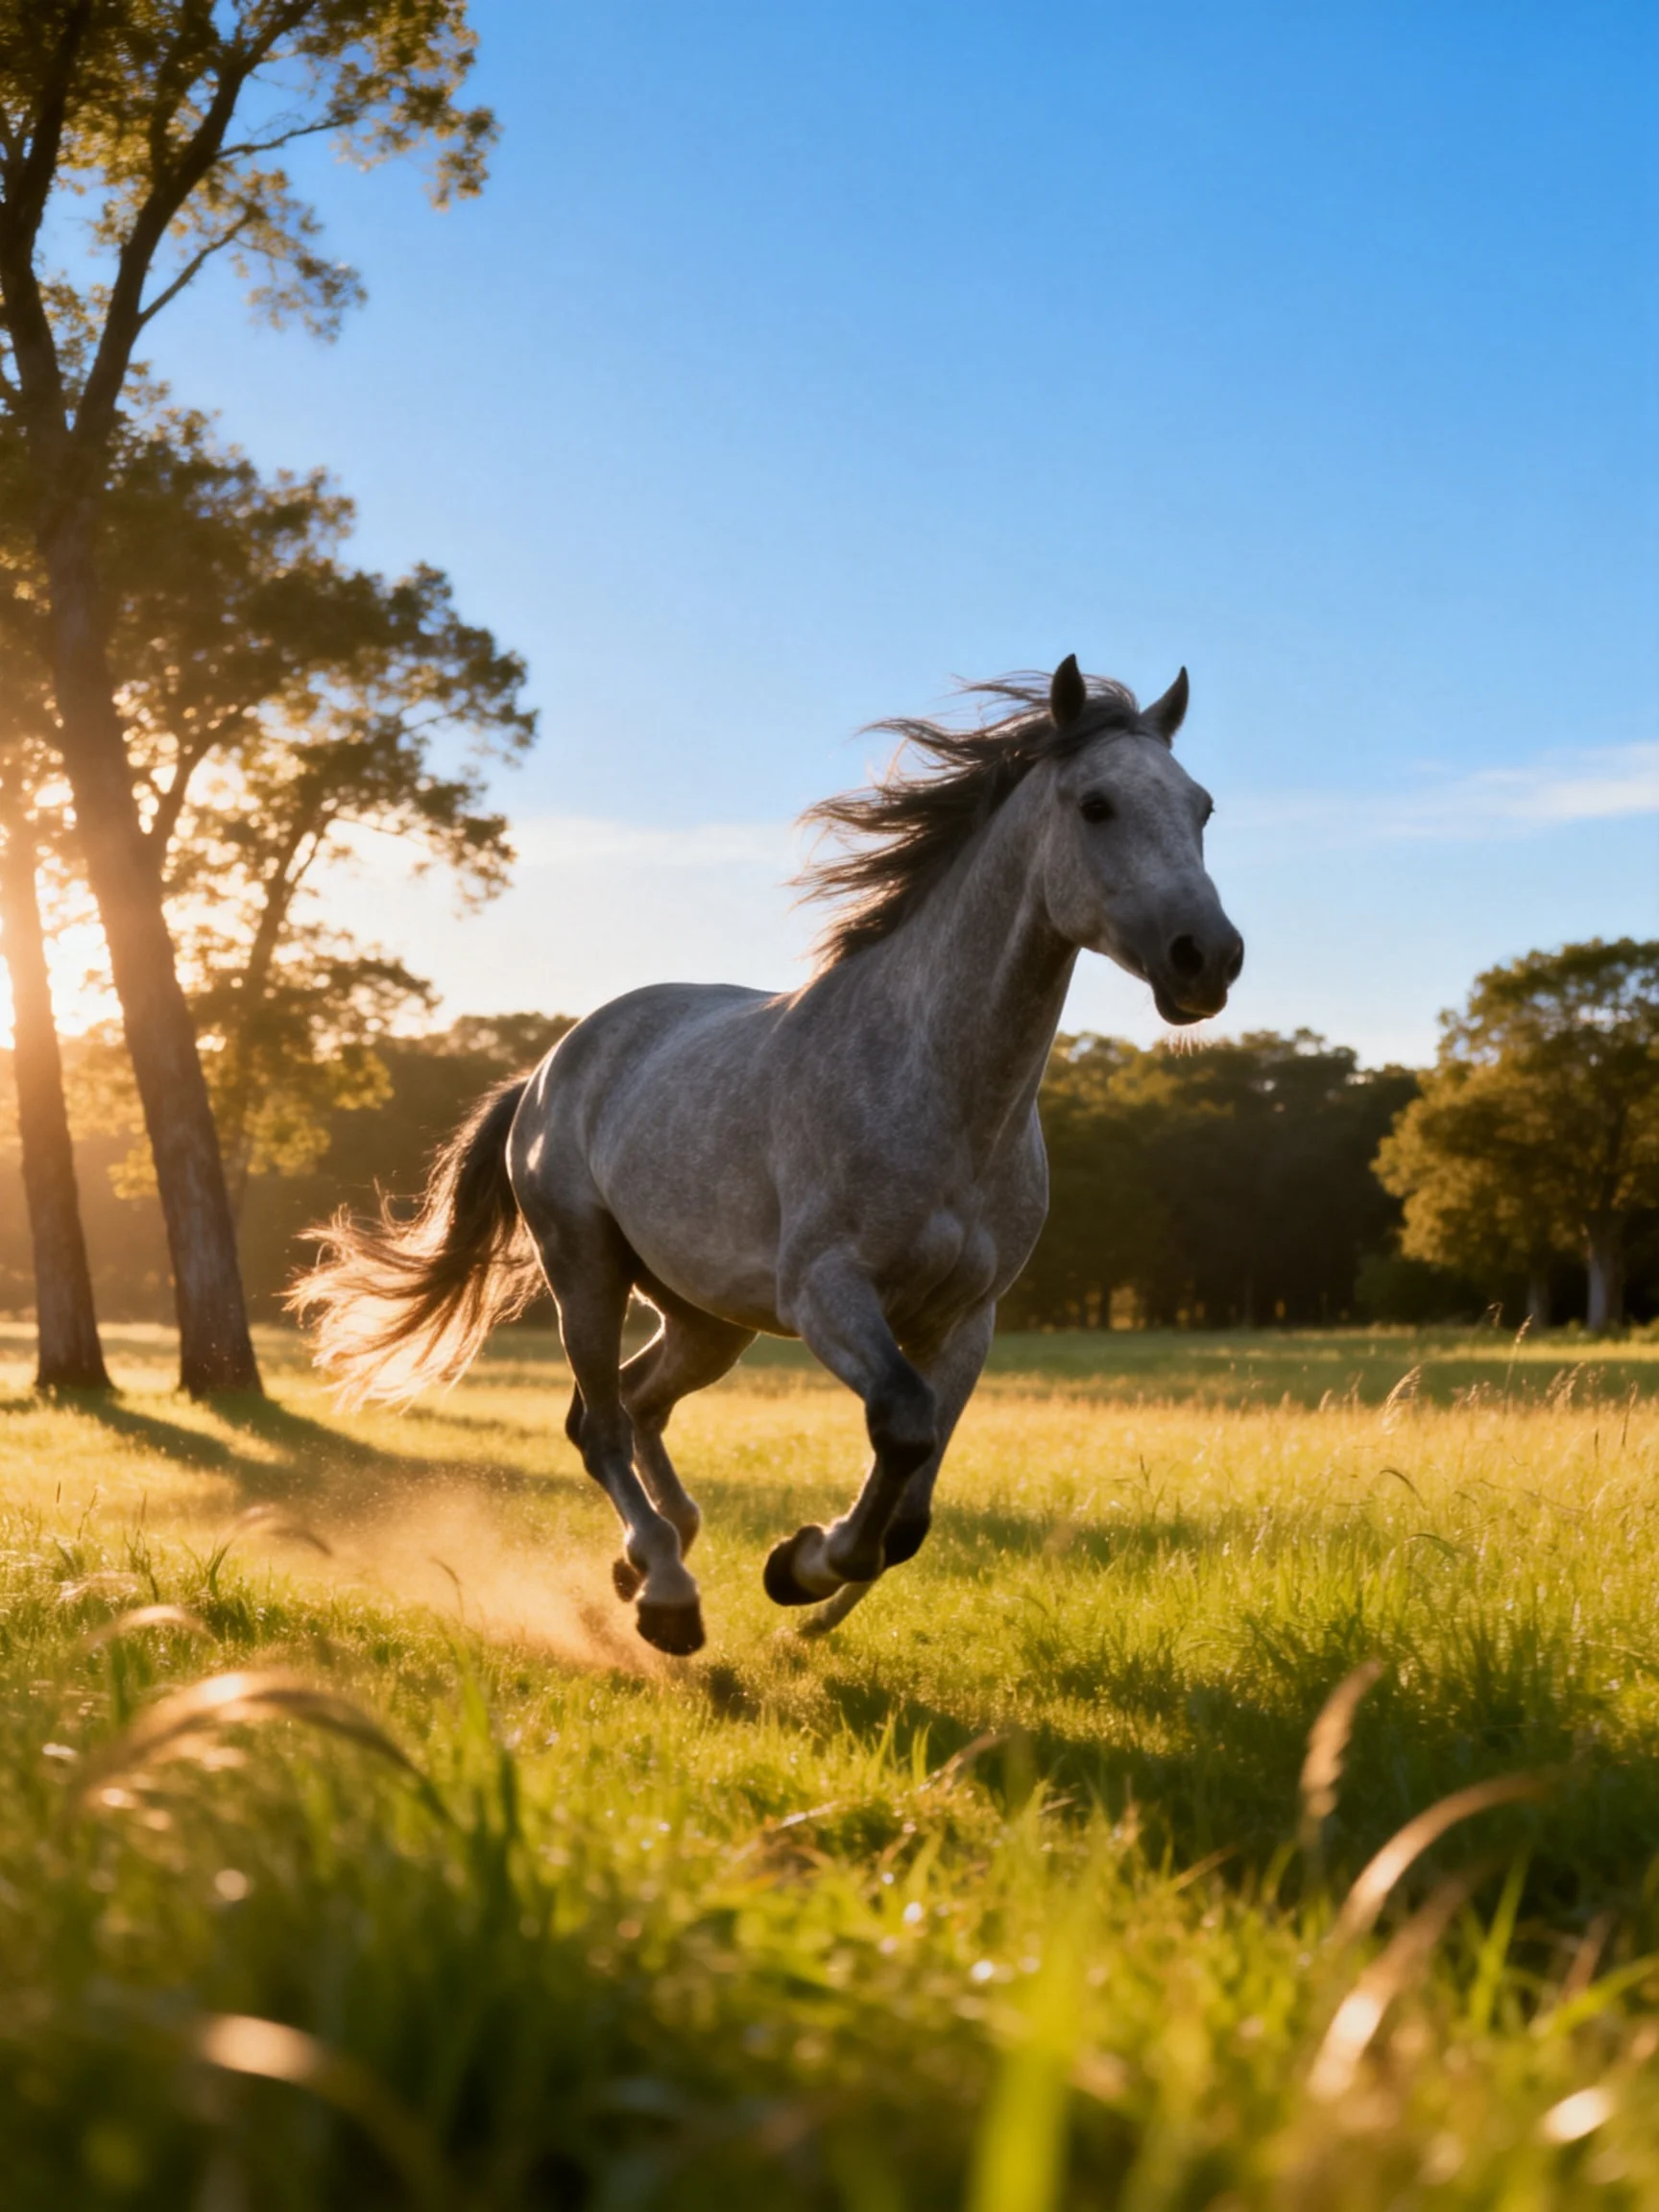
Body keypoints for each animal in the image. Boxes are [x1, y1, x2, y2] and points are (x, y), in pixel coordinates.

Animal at [292, 656, 1243, 1655]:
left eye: (1202, 807)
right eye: (1096, 805)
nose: (1208, 959)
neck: (940, 1089)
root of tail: (547, 1069)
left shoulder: (966, 1319)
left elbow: (912, 1513)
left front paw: (813, 1585)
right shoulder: (827, 1291)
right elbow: (901, 1427)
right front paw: (801, 1566)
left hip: (708, 1318)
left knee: (631, 1405)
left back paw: (648, 1558)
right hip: (585, 1269)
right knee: (600, 1424)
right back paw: (668, 1595)